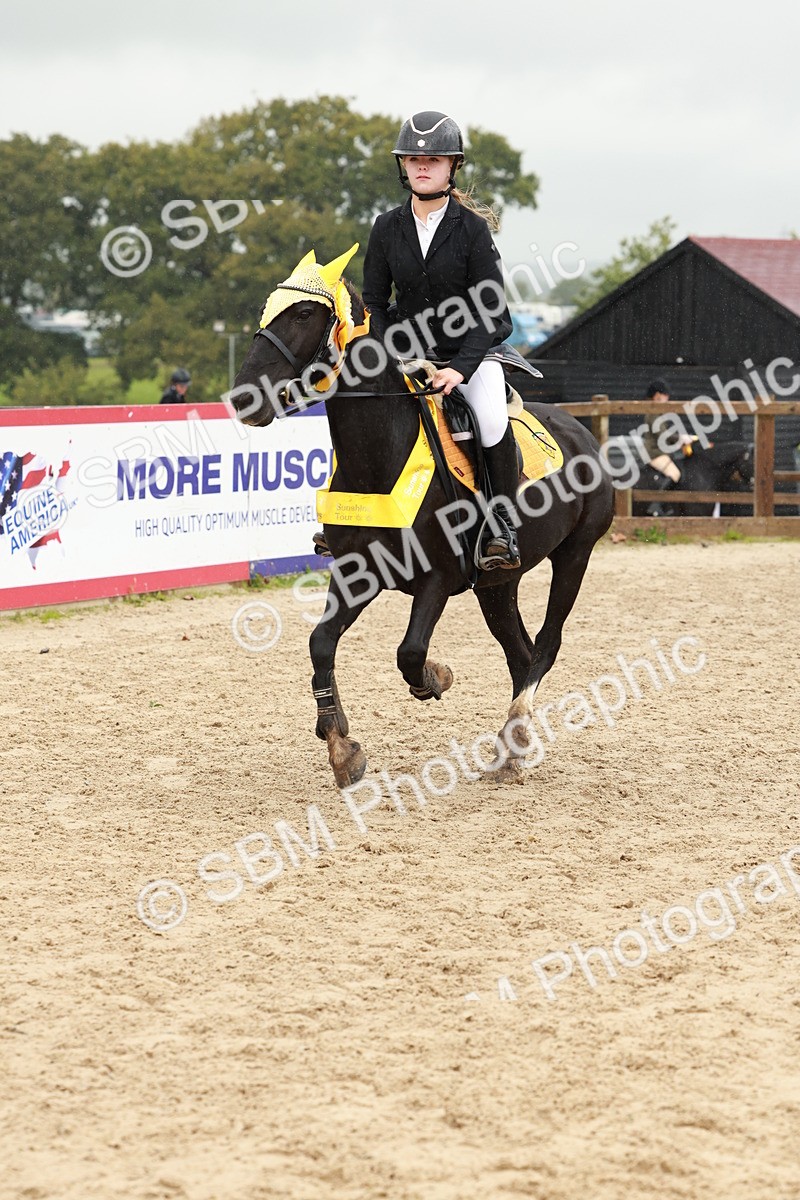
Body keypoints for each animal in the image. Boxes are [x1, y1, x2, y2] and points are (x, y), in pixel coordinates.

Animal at [230, 260, 614, 789]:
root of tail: (582, 432)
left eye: (305, 314)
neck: (379, 460)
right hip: (498, 584)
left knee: (546, 646)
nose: (244, 397)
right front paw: (340, 744)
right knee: (520, 653)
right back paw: (511, 748)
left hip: (574, 556)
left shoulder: (438, 578)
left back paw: (516, 731)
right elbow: (320, 644)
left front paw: (436, 676)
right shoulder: (357, 574)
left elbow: (409, 652)